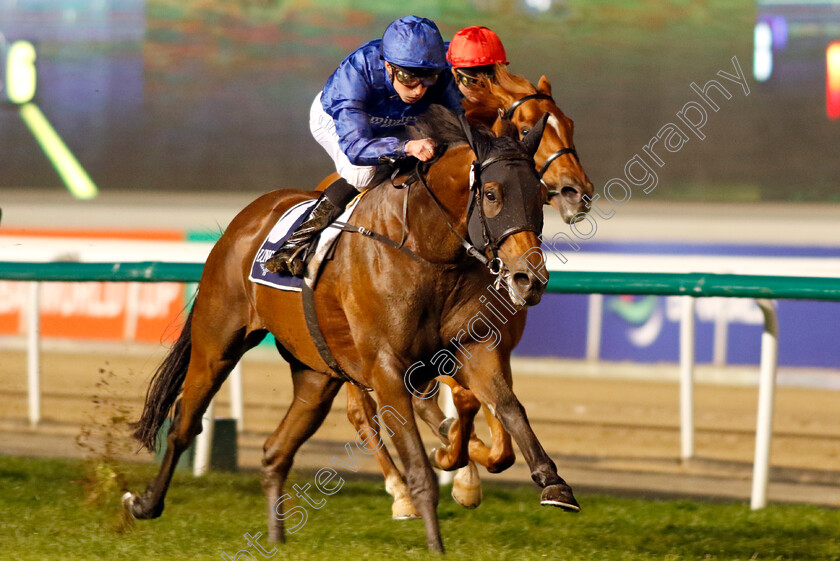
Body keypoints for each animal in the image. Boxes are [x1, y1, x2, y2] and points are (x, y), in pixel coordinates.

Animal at [126, 106, 576, 552]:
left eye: (537, 195)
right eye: (492, 194)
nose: (529, 279)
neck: (428, 251)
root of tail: (244, 220)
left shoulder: (474, 348)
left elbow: (508, 407)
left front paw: (553, 483)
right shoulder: (388, 370)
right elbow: (419, 464)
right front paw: (436, 542)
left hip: (316, 374)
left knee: (275, 451)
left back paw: (276, 538)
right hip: (216, 345)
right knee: (184, 424)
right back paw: (145, 503)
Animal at [338, 66, 592, 516]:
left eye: (571, 124)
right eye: (527, 126)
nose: (577, 193)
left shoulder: (491, 345)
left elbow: (500, 413)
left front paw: (473, 461)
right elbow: (464, 402)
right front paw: (458, 465)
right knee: (362, 412)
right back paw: (401, 491)